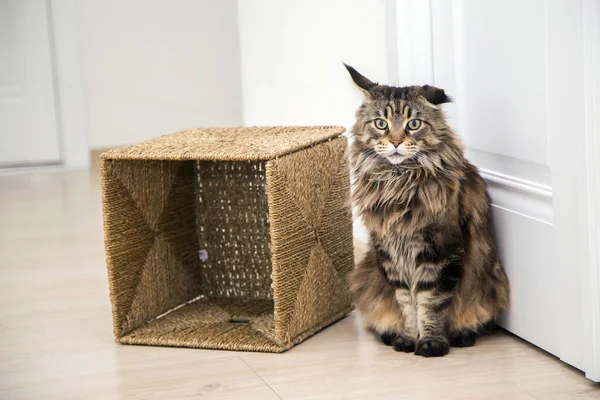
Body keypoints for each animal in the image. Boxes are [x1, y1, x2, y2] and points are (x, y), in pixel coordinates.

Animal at [346, 64, 510, 358]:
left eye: (413, 124)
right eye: (380, 123)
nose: (396, 142)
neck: (398, 182)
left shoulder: (440, 250)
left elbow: (431, 302)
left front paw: (432, 342)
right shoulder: (390, 254)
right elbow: (407, 303)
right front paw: (409, 338)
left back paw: (462, 335)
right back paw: (390, 335)